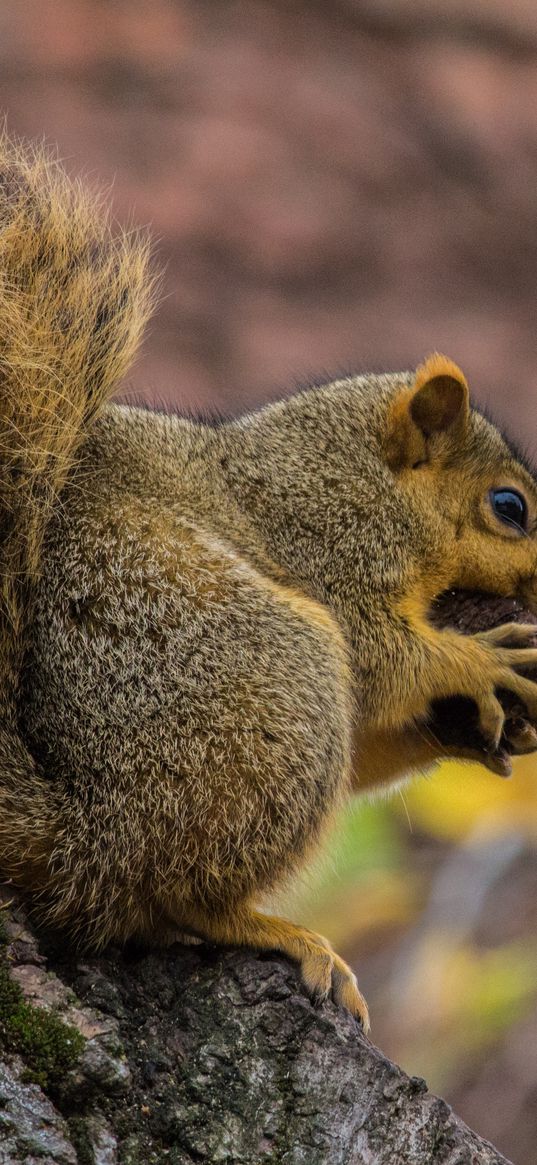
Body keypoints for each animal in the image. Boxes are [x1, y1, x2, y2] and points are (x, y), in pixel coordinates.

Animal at [1, 132, 535, 1034]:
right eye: (511, 508)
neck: (346, 470)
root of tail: (83, 833)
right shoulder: (329, 546)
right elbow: (380, 658)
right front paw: (478, 663)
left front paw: (463, 732)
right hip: (277, 684)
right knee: (173, 896)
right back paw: (276, 931)